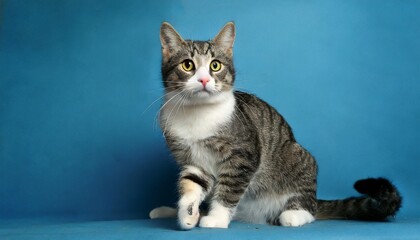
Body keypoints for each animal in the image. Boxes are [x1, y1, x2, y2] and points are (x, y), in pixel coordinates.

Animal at [149, 22, 402, 229]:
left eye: (216, 65)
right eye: (188, 65)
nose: (203, 80)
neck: (197, 114)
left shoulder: (243, 156)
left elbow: (229, 189)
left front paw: (217, 218)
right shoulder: (194, 160)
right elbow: (192, 183)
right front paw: (188, 214)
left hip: (299, 157)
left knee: (309, 207)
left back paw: (294, 215)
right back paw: (172, 211)